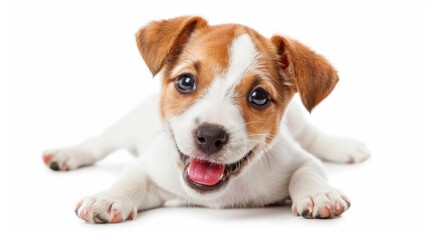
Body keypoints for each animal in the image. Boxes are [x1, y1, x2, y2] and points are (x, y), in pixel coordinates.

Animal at [44, 16, 372, 223]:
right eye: (186, 81)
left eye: (259, 97)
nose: (211, 135)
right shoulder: (153, 168)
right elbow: (131, 177)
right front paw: (109, 198)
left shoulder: (297, 159)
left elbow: (307, 172)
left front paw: (319, 195)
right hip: (126, 126)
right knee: (98, 142)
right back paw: (66, 154)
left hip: (298, 121)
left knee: (313, 136)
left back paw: (342, 147)